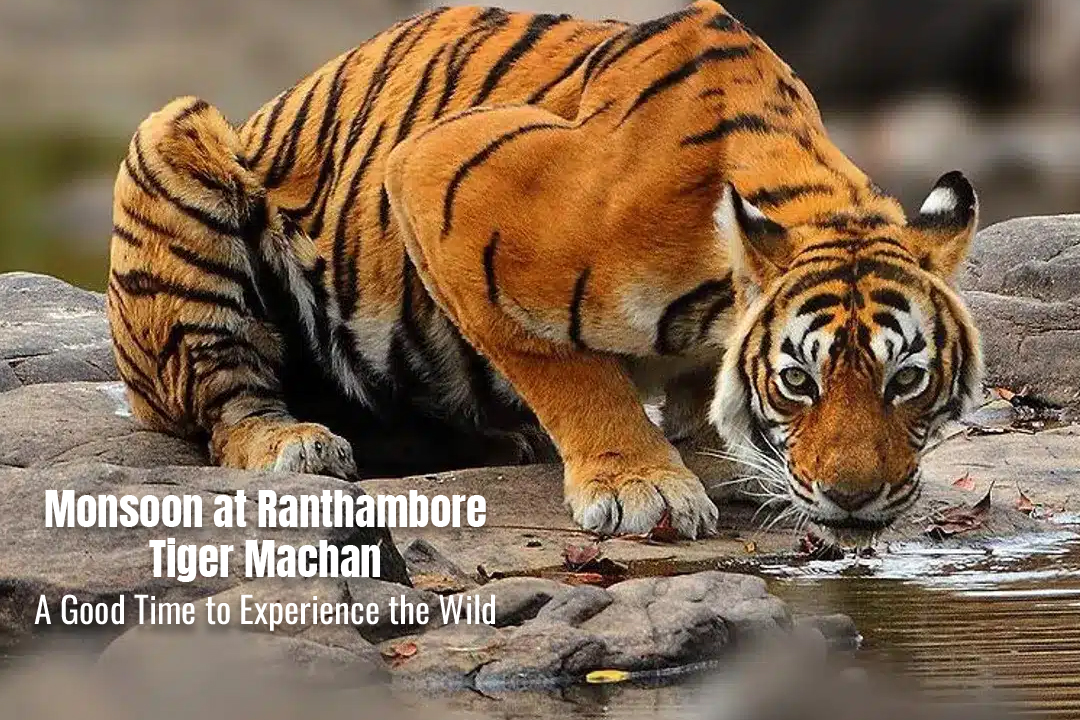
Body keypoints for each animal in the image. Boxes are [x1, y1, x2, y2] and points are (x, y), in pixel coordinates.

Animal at [107, 1, 983, 543]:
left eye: (906, 380)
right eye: (799, 382)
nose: (853, 499)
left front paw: (711, 452)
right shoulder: (438, 180)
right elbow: (568, 371)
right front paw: (642, 484)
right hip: (174, 146)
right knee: (227, 404)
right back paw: (297, 442)